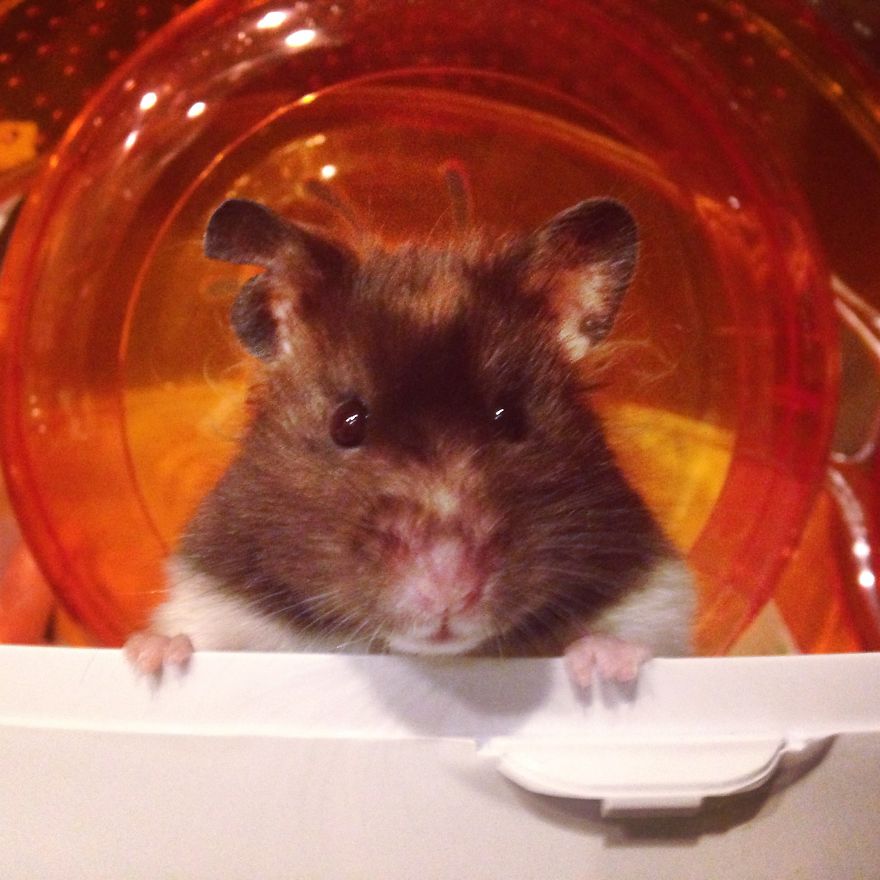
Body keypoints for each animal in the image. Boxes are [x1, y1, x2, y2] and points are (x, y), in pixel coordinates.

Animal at [125, 197, 694, 686]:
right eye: (346, 423)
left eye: (510, 419)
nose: (447, 590)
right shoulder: (207, 597)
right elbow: (191, 632)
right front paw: (152, 659)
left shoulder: (661, 602)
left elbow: (638, 638)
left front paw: (603, 666)